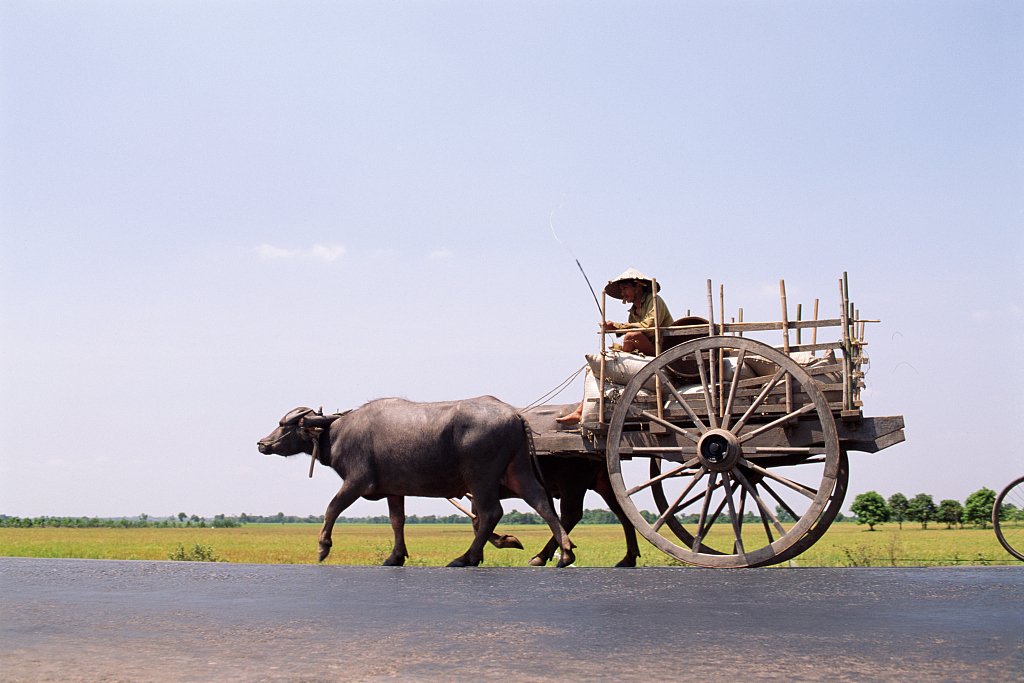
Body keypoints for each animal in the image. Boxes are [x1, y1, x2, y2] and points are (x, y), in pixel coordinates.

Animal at [256, 395, 577, 565]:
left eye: (285, 425)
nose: (261, 443)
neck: (336, 432)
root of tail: (515, 414)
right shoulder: (393, 490)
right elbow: (397, 520)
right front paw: (395, 557)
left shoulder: (356, 482)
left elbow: (332, 508)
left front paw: (323, 547)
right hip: (517, 470)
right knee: (541, 502)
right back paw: (564, 553)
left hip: (480, 476)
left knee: (489, 513)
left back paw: (466, 558)